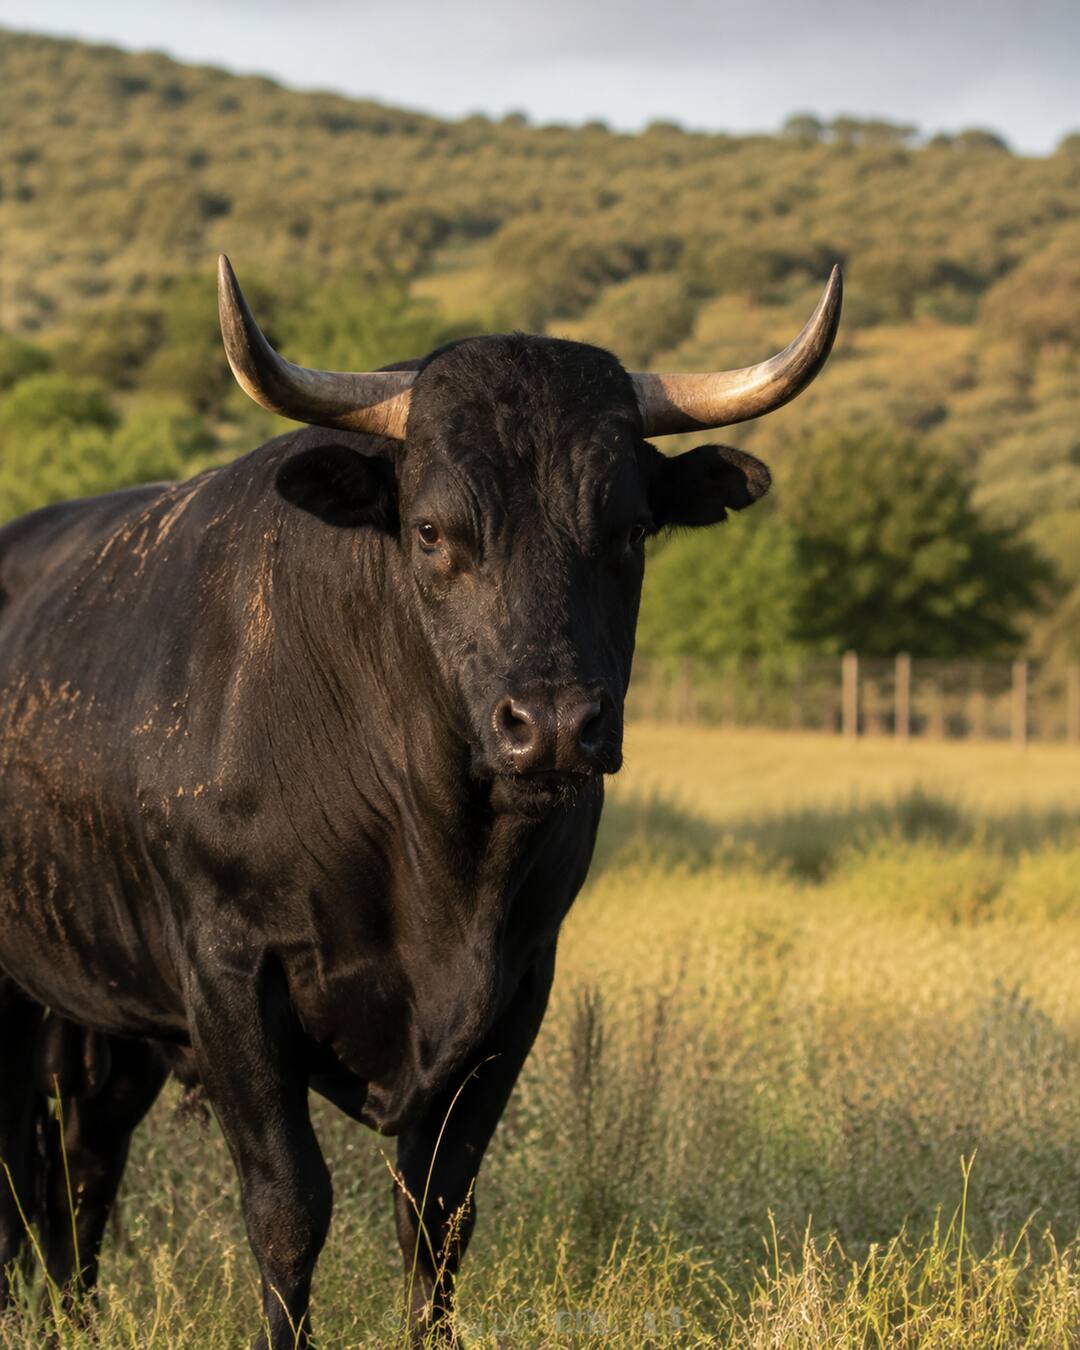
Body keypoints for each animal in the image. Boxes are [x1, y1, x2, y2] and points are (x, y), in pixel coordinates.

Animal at [0, 256, 841, 1346]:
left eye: (630, 529)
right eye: (435, 530)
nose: (554, 724)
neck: (440, 861)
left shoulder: (517, 986)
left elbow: (438, 1213)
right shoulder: (228, 971)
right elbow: (288, 1206)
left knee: (82, 1167)